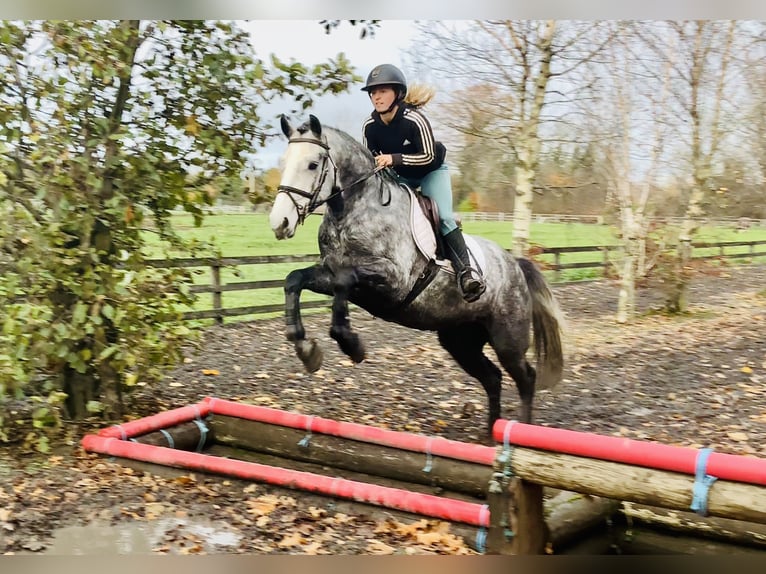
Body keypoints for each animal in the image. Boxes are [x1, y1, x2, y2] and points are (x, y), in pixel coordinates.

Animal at [268, 114, 564, 433]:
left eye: (312, 164)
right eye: (283, 162)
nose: (279, 223)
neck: (354, 211)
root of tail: (515, 265)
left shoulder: (393, 280)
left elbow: (345, 282)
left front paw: (351, 345)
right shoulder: (330, 273)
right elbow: (296, 280)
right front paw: (305, 348)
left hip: (507, 338)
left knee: (525, 378)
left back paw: (520, 431)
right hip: (460, 340)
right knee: (492, 378)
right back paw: (489, 435)